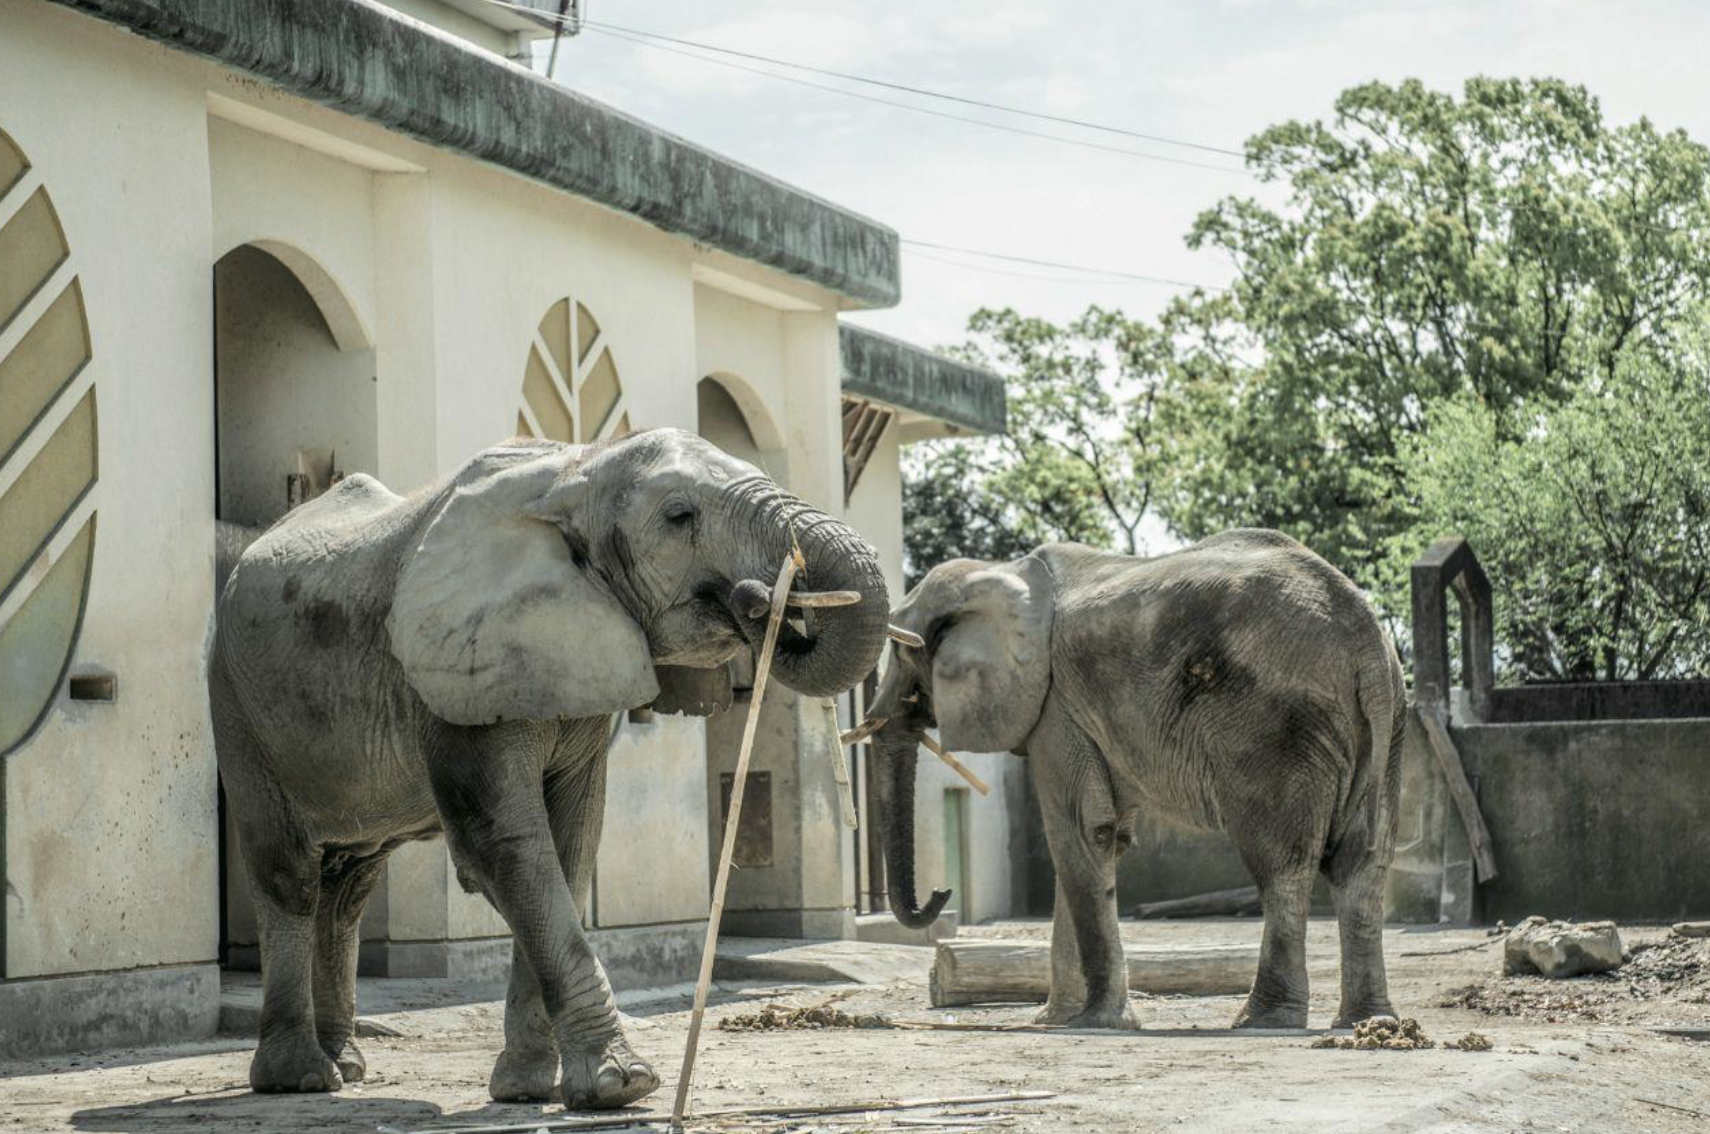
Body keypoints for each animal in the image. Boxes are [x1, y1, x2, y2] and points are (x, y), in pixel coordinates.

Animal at [206, 427, 889, 1108]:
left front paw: (527, 1089)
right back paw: (299, 1077)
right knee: (289, 872)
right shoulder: (466, 663)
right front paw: (621, 1085)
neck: (573, 471)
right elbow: (504, 846)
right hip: (236, 701)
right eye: (679, 516)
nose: (761, 597)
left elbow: (571, 845)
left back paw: (346, 1067)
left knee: (350, 884)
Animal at [855, 526, 1402, 1033]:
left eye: (902, 655)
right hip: (1386, 723)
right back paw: (1367, 1021)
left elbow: (1079, 834)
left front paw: (1096, 1022)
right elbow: (1099, 843)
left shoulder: (1056, 705)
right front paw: (1057, 1021)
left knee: (1284, 866)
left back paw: (1262, 1020)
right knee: (1364, 865)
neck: (998, 572)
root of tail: (1366, 638)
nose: (942, 892)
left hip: (1274, 726)